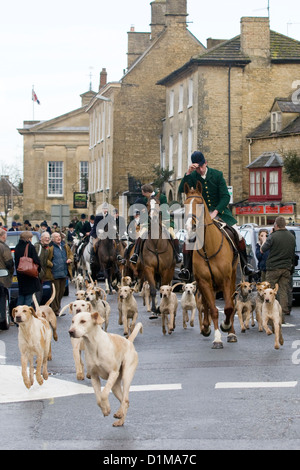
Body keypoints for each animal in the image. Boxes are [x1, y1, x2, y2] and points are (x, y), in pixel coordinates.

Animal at [183, 181, 239, 348]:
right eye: (185, 205)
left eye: (200, 203)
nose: (190, 227)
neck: (209, 248)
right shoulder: (204, 281)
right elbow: (212, 309)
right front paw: (217, 337)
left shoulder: (226, 280)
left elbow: (228, 307)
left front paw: (226, 327)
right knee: (206, 304)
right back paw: (206, 327)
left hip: (233, 278)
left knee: (230, 304)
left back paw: (231, 332)